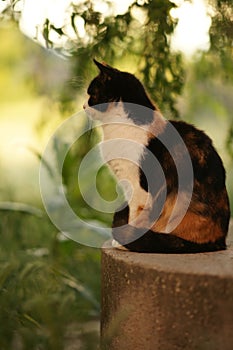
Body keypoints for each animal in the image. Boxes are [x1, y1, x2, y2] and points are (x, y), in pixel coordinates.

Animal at [83, 58, 230, 253]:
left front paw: (125, 242)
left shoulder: (138, 188)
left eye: (91, 94)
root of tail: (220, 241)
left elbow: (135, 216)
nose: (83, 106)